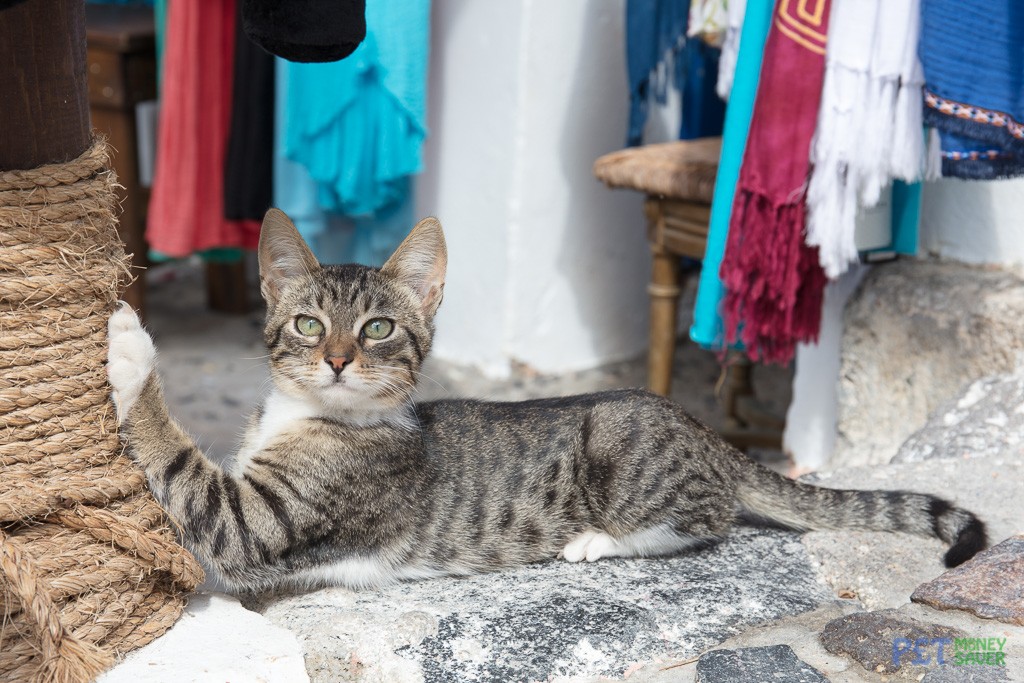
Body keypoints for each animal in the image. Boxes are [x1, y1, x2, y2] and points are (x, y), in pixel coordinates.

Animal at [108, 208, 987, 593]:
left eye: (380, 327)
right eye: (309, 322)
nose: (336, 358)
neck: (317, 419)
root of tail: (703, 429)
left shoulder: (259, 522)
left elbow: (181, 464)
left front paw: (129, 347)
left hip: (625, 451)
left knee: (708, 516)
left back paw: (598, 540)